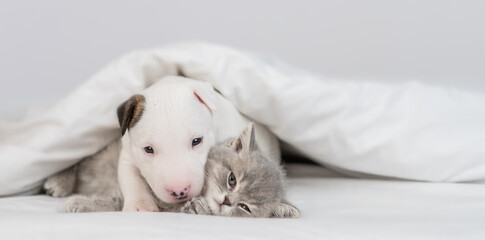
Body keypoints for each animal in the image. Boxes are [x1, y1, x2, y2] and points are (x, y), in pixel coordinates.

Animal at [43, 124, 296, 218]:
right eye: (232, 179)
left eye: (244, 207)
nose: (227, 201)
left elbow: (118, 202)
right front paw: (78, 201)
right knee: (79, 159)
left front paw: (80, 203)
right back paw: (60, 181)